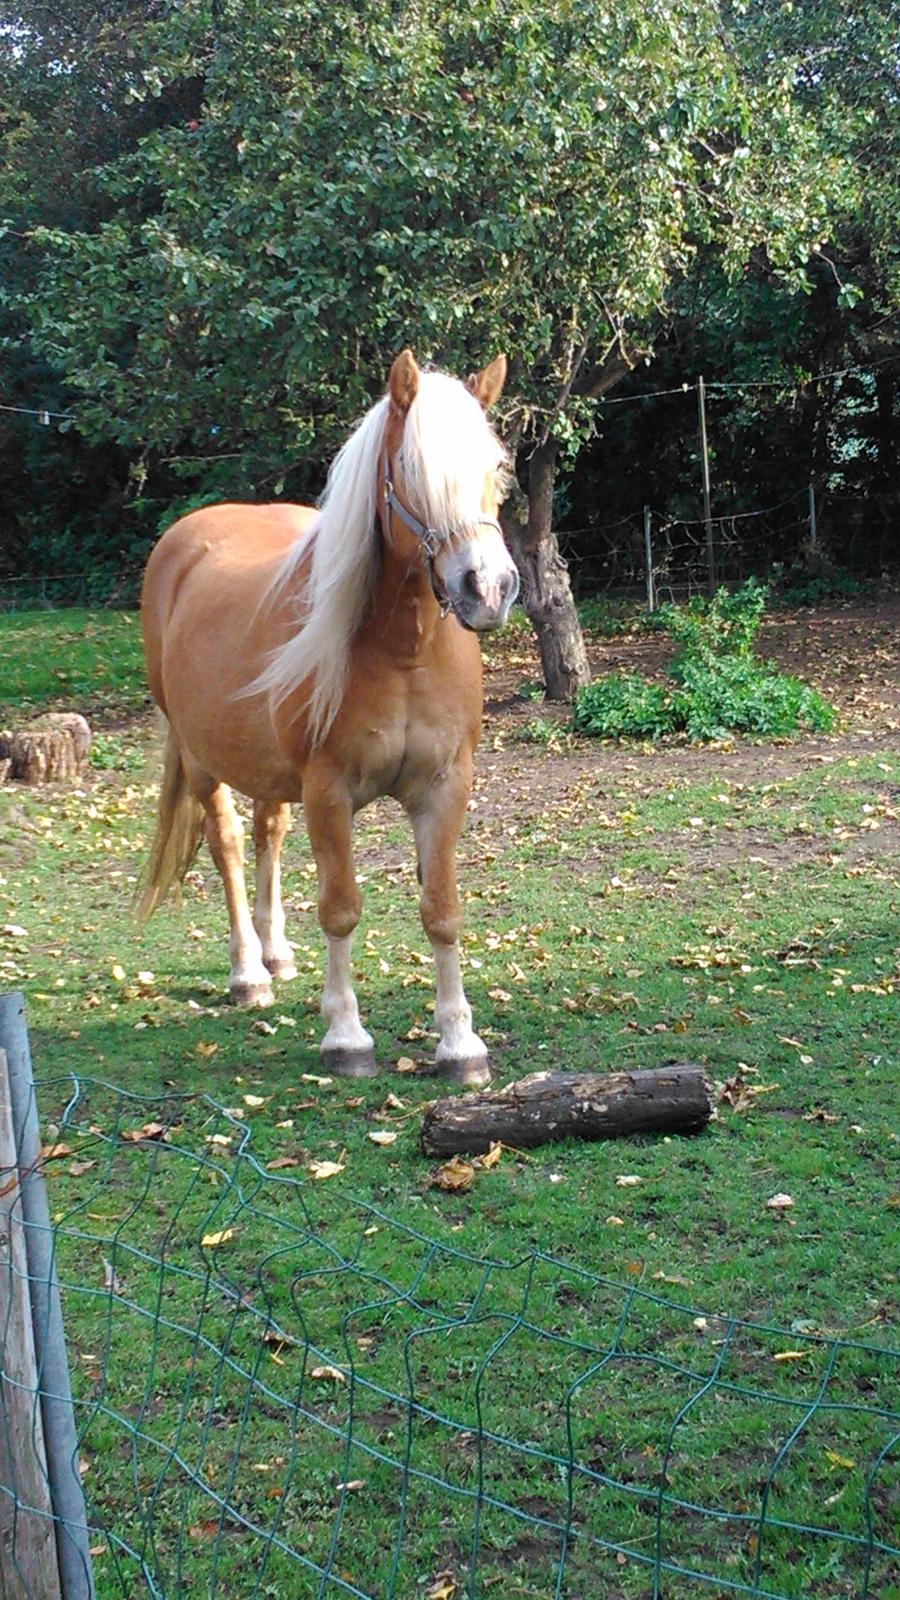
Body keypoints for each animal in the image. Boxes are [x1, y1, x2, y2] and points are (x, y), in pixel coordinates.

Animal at [140, 353, 518, 1088]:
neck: (401, 650)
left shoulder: (445, 787)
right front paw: (346, 1037)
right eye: (410, 469)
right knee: (230, 847)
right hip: (203, 764)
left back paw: (278, 953)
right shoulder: (328, 790)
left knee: (267, 836)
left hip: (268, 773)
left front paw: (460, 1045)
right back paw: (249, 973)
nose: (487, 589)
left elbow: (442, 912)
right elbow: (341, 909)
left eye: (496, 466)